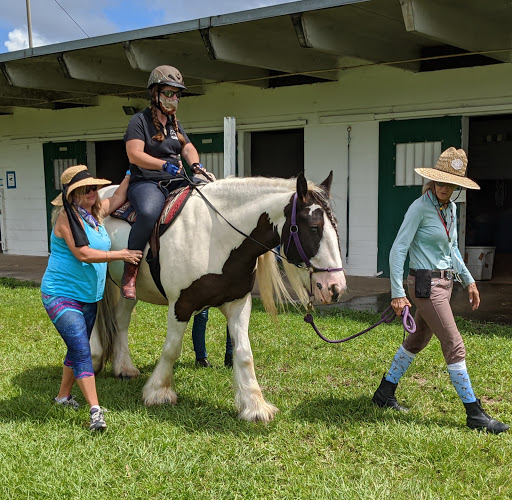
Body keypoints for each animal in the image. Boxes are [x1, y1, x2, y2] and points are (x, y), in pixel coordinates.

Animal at [91, 172, 348, 422]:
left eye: (336, 227)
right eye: (314, 227)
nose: (335, 287)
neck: (215, 236)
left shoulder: (238, 304)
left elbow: (244, 353)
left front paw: (254, 406)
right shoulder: (181, 304)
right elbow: (172, 348)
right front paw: (158, 392)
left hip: (129, 291)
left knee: (120, 321)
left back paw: (124, 368)